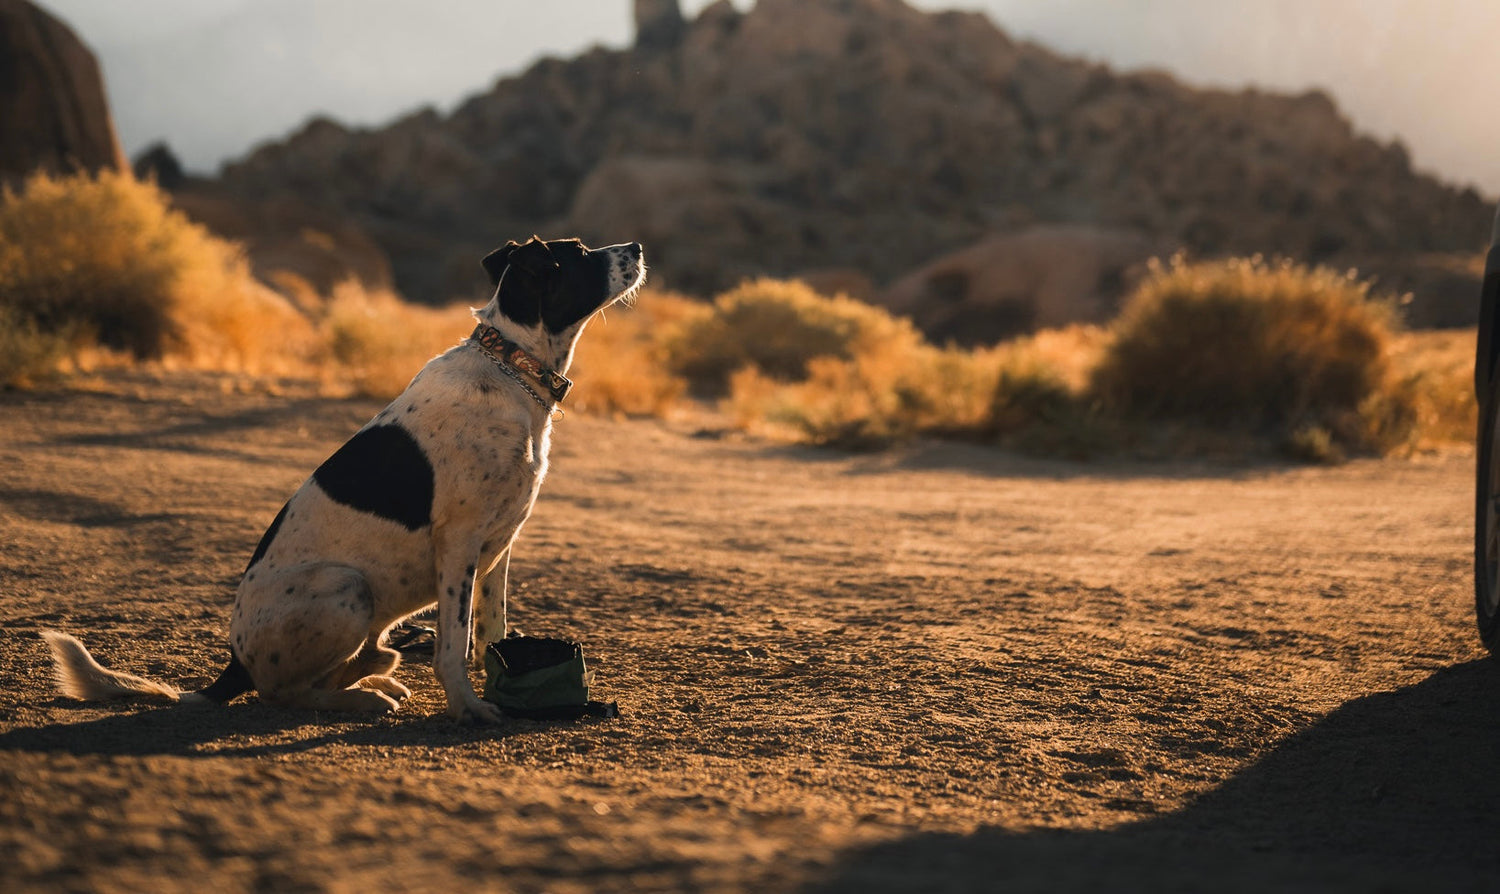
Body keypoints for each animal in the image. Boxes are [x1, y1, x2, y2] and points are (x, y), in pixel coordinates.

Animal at [45, 234, 645, 723]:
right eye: (581, 253)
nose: (638, 247)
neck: (511, 368)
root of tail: (235, 663)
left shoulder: (501, 543)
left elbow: (490, 633)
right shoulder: (459, 544)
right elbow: (455, 646)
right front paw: (468, 708)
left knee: (346, 665)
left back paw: (376, 675)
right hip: (346, 588)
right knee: (281, 693)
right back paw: (362, 697)